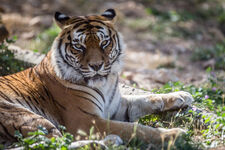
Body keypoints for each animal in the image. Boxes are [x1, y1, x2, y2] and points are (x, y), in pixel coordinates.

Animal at [0, 8, 193, 148]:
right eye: (79, 46)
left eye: (104, 43)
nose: (96, 66)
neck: (104, 85)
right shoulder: (84, 120)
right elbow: (134, 129)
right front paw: (174, 134)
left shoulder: (116, 106)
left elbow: (144, 98)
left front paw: (181, 96)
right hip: (25, 115)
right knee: (52, 143)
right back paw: (105, 143)